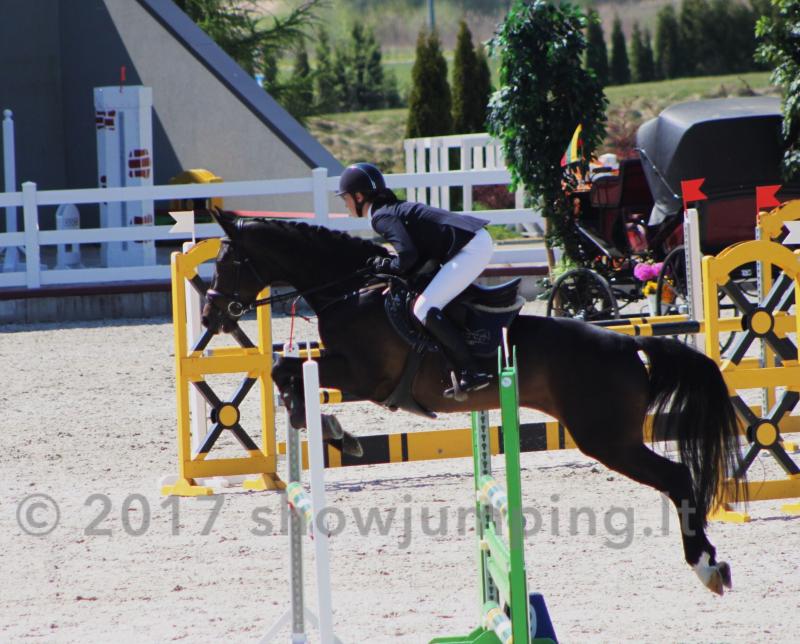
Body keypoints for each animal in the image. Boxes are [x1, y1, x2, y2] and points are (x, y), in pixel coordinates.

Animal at [201, 209, 743, 596]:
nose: (211, 316)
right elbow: (285, 369)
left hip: (608, 440)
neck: (349, 289)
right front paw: (331, 429)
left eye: (226, 262)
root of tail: (629, 346)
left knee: (677, 479)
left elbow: (285, 370)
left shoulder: (365, 374)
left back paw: (706, 565)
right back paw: (712, 564)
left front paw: (331, 430)